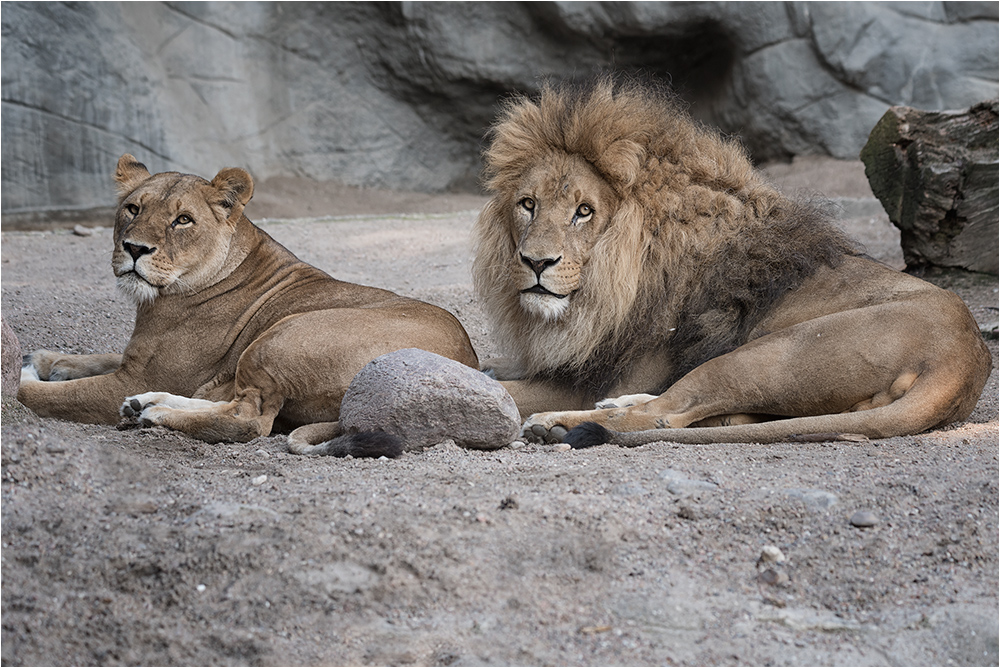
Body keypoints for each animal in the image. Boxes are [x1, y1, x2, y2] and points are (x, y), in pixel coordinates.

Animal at [18, 155, 480, 454]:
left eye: (182, 220)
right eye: (132, 208)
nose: (134, 249)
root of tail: (470, 363)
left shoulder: (136, 374)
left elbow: (50, 396)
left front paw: (24, 378)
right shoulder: (136, 362)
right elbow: (94, 356)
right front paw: (40, 359)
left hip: (281, 336)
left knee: (250, 420)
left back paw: (152, 414)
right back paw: (146, 405)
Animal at [474, 75, 992, 446]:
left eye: (584, 211)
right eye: (527, 204)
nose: (535, 262)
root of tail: (963, 361)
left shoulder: (599, 372)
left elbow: (515, 390)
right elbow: (494, 367)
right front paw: (490, 367)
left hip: (768, 355)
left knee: (665, 416)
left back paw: (559, 424)